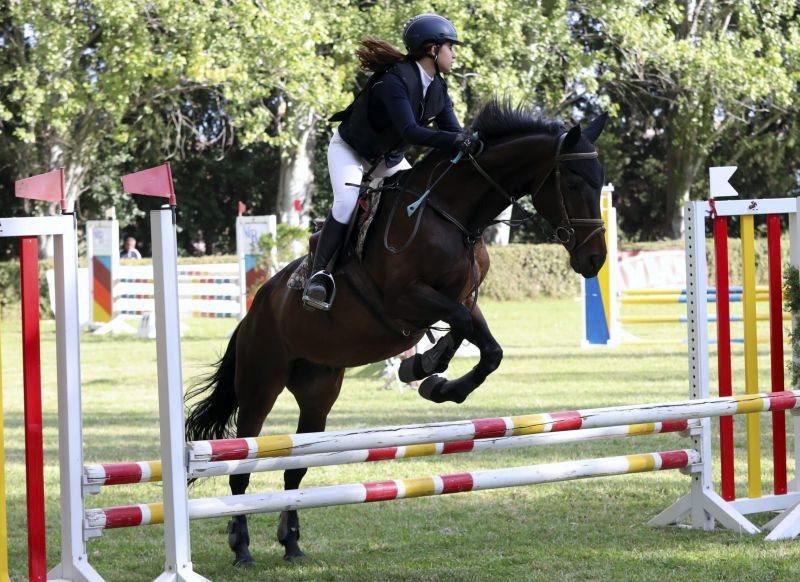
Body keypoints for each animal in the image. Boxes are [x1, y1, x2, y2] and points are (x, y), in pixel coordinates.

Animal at [184, 102, 608, 568]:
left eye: (600, 180)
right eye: (573, 181)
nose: (595, 259)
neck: (453, 214)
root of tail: (255, 309)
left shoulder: (462, 298)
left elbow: (484, 345)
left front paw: (433, 377)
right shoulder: (406, 298)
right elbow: (460, 326)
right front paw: (426, 369)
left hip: (318, 390)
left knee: (295, 466)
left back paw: (291, 542)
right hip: (261, 383)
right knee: (241, 465)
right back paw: (241, 546)